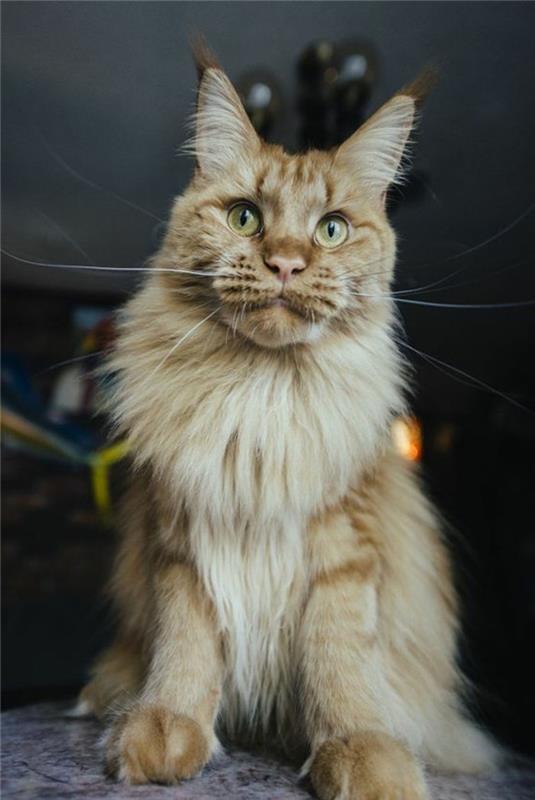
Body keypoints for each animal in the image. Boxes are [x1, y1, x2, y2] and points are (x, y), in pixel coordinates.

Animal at [77, 45, 500, 800]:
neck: (263, 397)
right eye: (245, 217)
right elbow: (186, 644)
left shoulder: (344, 546)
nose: (284, 263)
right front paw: (167, 728)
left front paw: (364, 754)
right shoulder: (183, 539)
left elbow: (339, 659)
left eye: (331, 228)